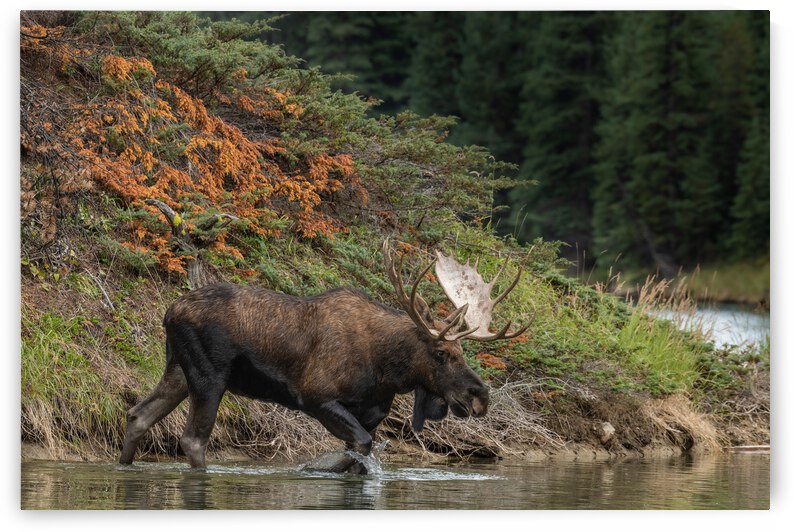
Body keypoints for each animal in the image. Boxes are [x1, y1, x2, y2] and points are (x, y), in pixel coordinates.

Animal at [118, 239, 531, 473]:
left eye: (463, 350)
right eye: (442, 352)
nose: (479, 397)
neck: (386, 369)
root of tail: (169, 312)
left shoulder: (371, 413)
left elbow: (360, 454)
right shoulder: (316, 396)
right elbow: (361, 447)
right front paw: (317, 468)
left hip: (178, 369)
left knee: (138, 415)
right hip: (210, 375)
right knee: (193, 438)